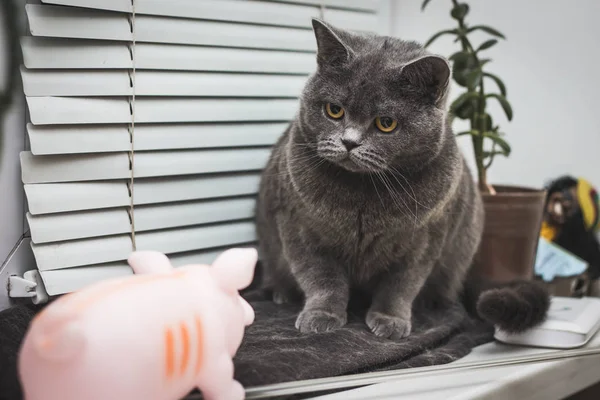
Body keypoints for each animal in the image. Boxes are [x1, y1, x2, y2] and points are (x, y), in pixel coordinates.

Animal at [255, 18, 548, 338]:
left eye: (386, 123)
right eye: (334, 110)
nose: (349, 142)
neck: (363, 196)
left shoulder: (424, 240)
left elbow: (400, 285)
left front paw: (389, 320)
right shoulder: (299, 226)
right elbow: (321, 278)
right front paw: (321, 316)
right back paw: (281, 292)